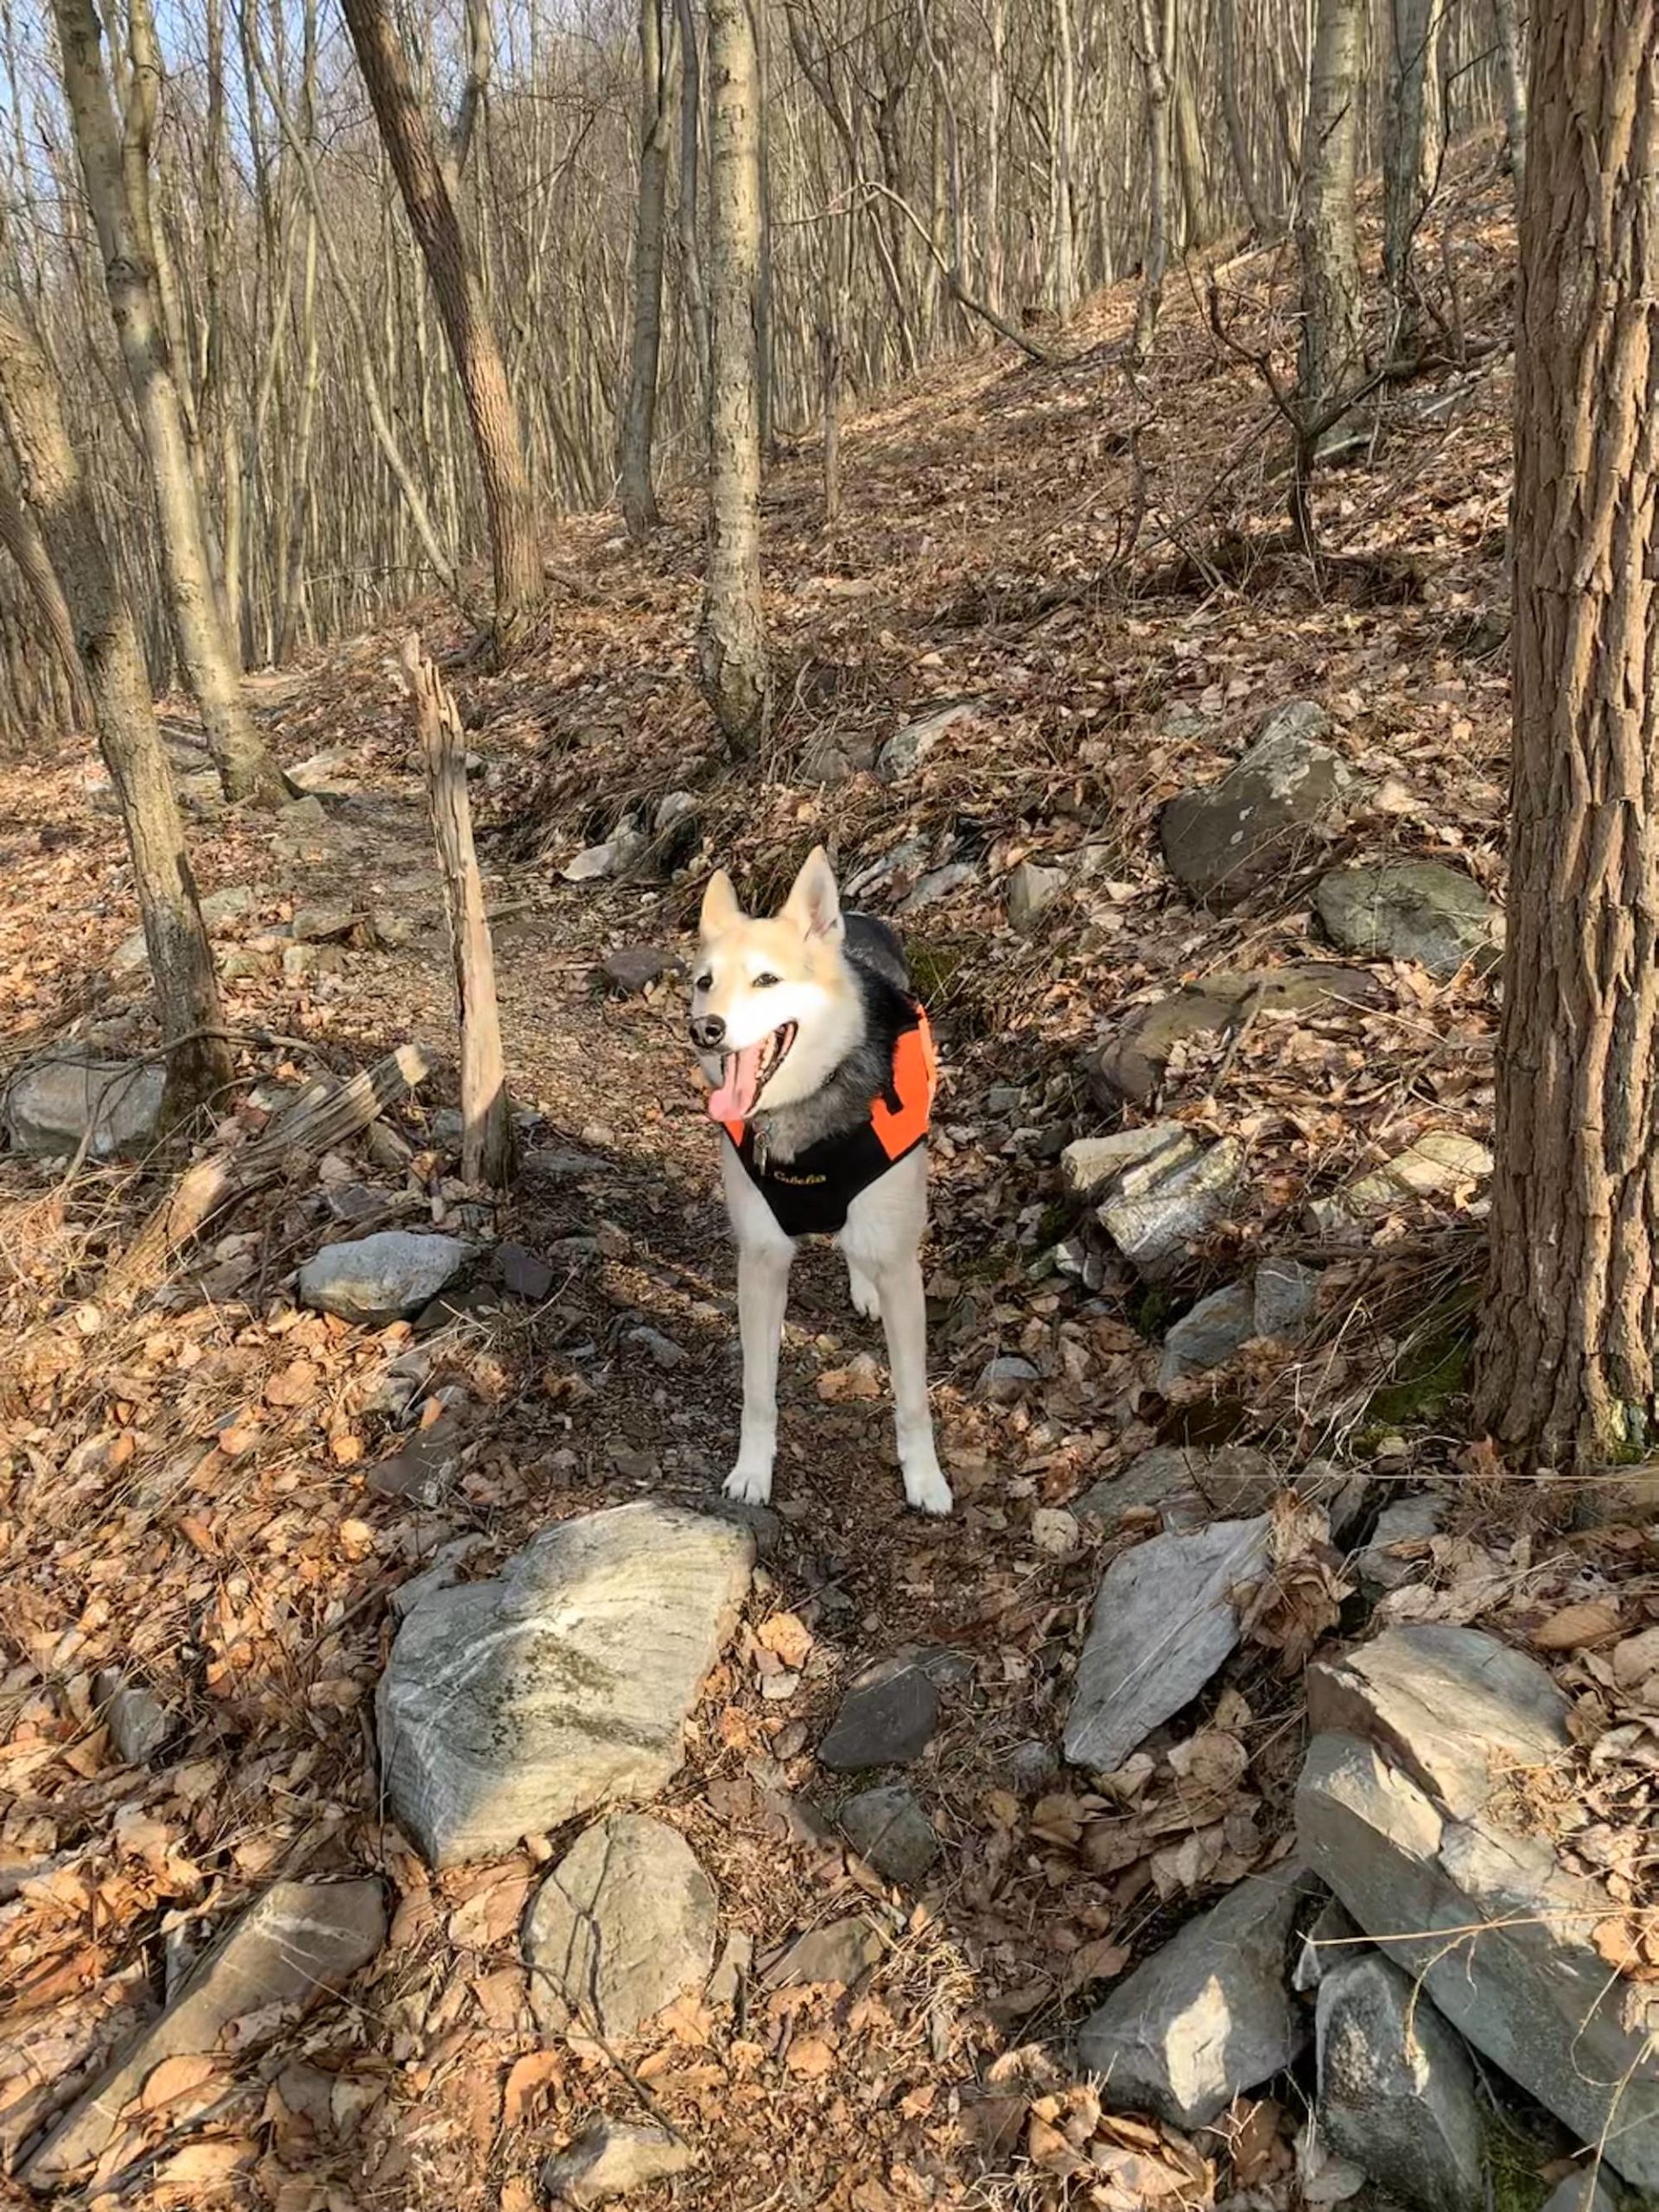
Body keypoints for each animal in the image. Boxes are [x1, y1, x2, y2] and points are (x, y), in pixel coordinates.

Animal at [685, 854, 946, 1513]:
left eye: (766, 980)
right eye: (704, 982)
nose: (707, 1030)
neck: (806, 1114)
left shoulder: (902, 1268)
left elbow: (913, 1400)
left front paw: (926, 1479)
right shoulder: (762, 1258)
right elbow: (758, 1391)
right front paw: (753, 1471)